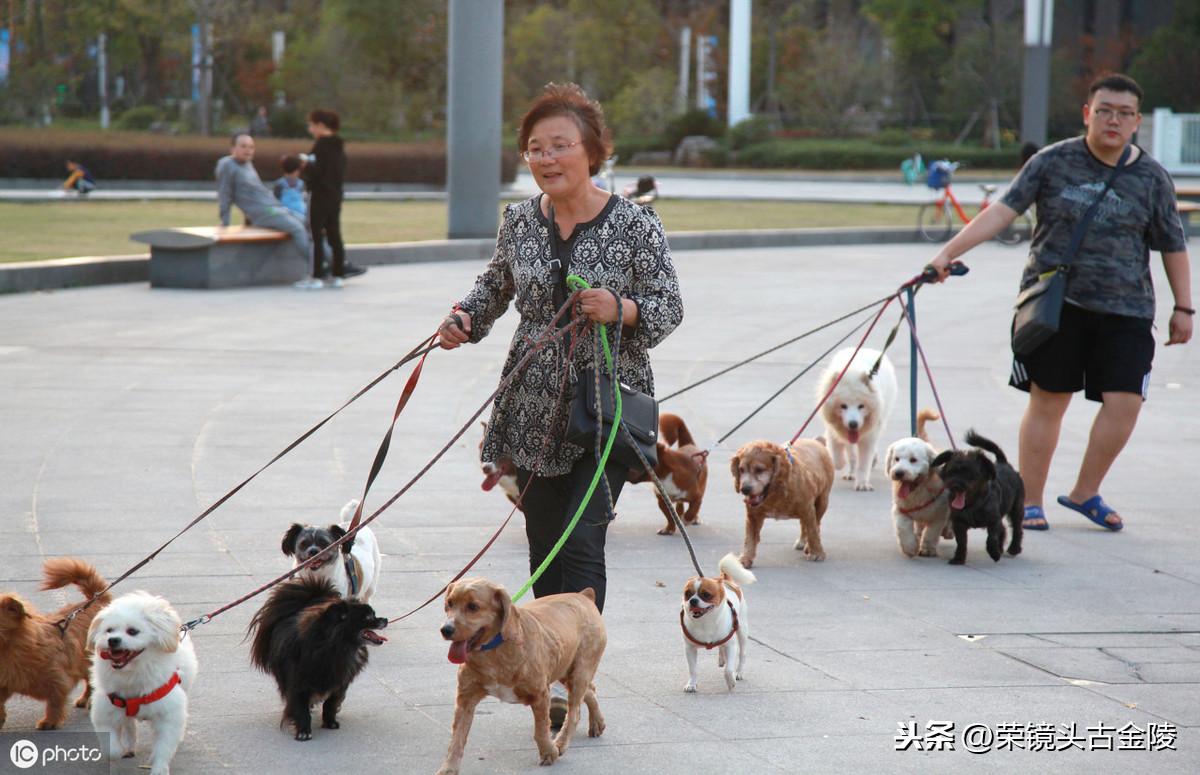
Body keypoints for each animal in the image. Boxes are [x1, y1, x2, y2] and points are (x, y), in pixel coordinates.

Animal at [0, 556, 110, 734]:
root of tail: (97, 599)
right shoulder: (4, 683)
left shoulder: (58, 681)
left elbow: (54, 703)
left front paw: (50, 721)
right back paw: (85, 699)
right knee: (89, 681)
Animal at [436, 580, 604, 772]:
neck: (493, 651)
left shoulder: (540, 695)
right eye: (449, 604)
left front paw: (548, 751)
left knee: (575, 711)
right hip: (565, 669)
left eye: (473, 606)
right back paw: (597, 721)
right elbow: (457, 739)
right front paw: (448, 769)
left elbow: (540, 730)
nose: (445, 629)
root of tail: (583, 596)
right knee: (590, 690)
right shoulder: (465, 698)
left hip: (580, 671)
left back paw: (561, 742)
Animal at [681, 556, 753, 695]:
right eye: (687, 594)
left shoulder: (731, 646)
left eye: (706, 595)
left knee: (742, 654)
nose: (693, 600)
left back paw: (739, 672)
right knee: (721, 647)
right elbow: (693, 669)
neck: (706, 622)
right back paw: (722, 658)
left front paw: (731, 681)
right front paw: (692, 684)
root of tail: (724, 579)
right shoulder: (690, 649)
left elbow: (729, 669)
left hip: (742, 630)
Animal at [820, 347, 897, 491]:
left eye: (861, 406)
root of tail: (867, 349)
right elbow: (837, 457)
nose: (853, 424)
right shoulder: (832, 430)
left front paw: (862, 484)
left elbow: (864, 463)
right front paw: (841, 462)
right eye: (843, 406)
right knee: (851, 454)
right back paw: (850, 472)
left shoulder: (869, 436)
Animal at [926, 431, 1022, 563]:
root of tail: (1003, 462)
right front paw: (958, 559)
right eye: (952, 471)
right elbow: (961, 542)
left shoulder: (993, 520)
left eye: (970, 474)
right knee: (1003, 528)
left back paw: (1013, 548)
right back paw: (1001, 548)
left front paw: (994, 553)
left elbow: (991, 538)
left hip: (1016, 508)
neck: (971, 504)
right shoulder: (959, 523)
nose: (956, 485)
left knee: (1017, 528)